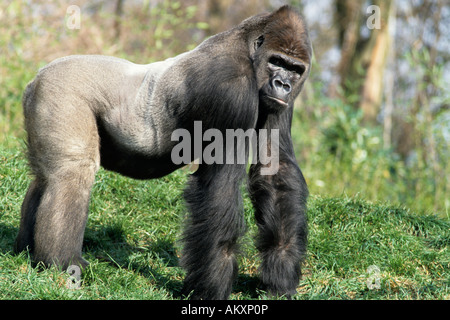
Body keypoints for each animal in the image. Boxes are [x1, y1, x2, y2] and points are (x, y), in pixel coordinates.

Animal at [14, 5, 310, 300]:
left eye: (295, 69)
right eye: (276, 61)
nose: (283, 84)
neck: (247, 48)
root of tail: (36, 79)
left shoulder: (280, 103)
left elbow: (275, 173)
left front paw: (279, 277)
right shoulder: (231, 88)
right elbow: (219, 188)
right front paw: (210, 289)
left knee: (44, 178)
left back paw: (27, 252)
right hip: (61, 90)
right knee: (72, 173)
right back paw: (63, 262)